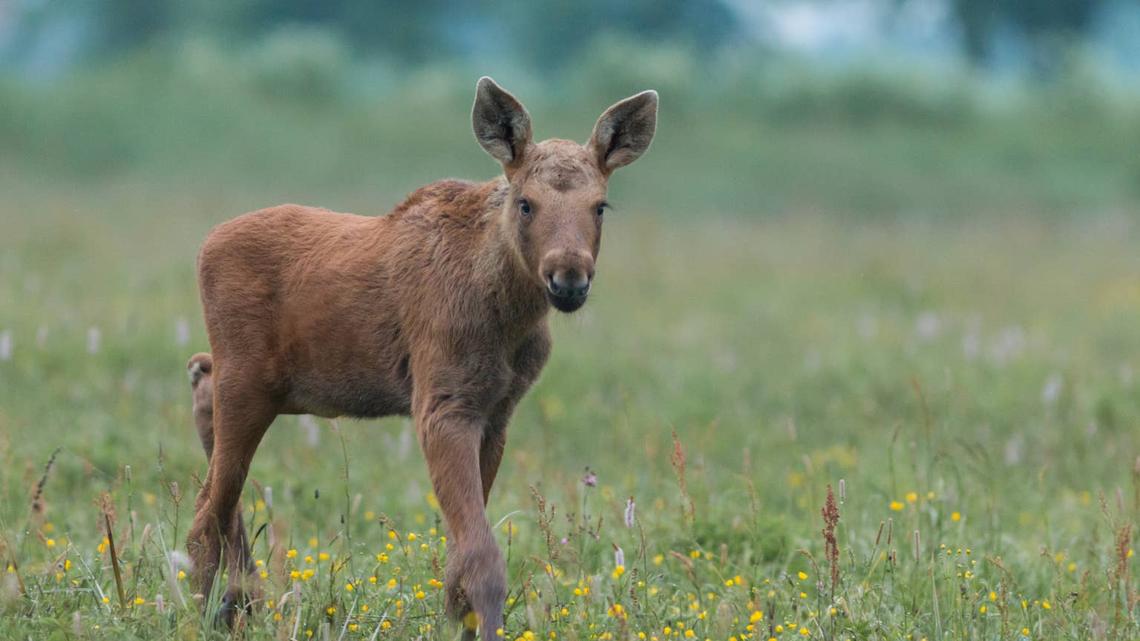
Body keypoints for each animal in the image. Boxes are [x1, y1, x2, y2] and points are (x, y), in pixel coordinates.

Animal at [185, 77, 658, 638]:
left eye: (600, 206)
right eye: (526, 203)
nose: (568, 278)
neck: (509, 313)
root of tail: (205, 246)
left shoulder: (497, 413)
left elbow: (459, 555)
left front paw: (457, 618)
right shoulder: (443, 404)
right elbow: (481, 556)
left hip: (265, 386)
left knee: (204, 421)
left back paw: (240, 603)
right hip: (248, 381)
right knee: (206, 512)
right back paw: (215, 609)